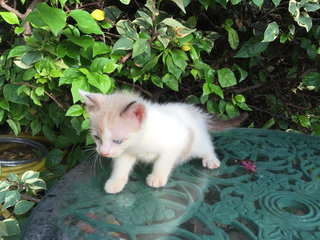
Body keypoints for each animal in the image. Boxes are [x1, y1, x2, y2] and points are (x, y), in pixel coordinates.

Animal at [79, 90, 246, 193]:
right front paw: (115, 182)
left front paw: (157, 178)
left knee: (206, 146)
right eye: (97, 137)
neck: (140, 140)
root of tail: (195, 113)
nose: (103, 152)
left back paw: (211, 159)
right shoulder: (126, 152)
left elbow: (163, 163)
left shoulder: (172, 145)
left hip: (196, 141)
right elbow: (121, 166)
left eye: (117, 140)